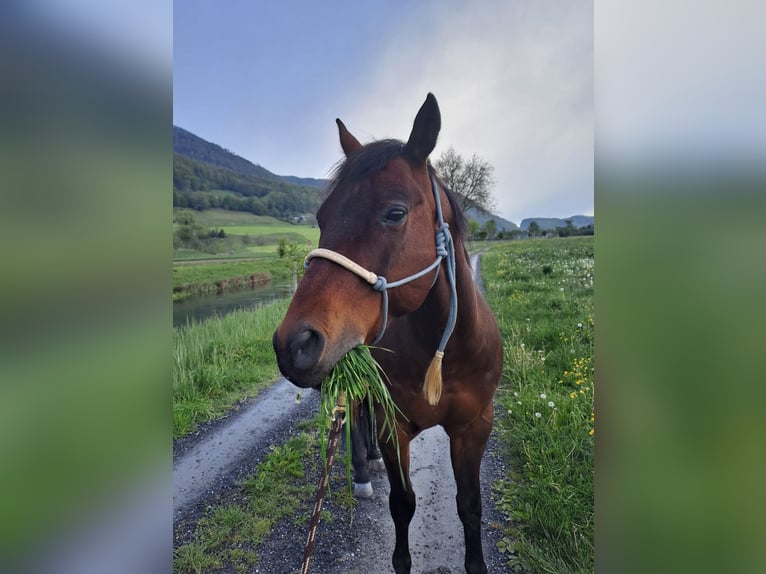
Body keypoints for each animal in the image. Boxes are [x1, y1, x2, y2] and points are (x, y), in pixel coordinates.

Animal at [274, 92, 504, 572]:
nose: (293, 343)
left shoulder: (475, 427)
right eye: (321, 216)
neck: (444, 353)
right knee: (355, 418)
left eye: (394, 213)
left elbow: (470, 506)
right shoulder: (394, 425)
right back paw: (363, 471)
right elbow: (403, 503)